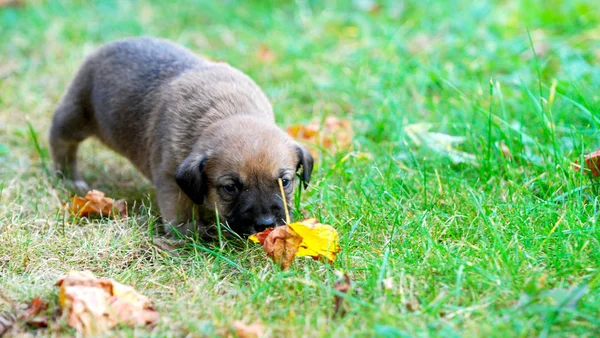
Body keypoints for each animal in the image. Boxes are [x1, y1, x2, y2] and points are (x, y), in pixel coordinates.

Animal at [49, 37, 314, 238]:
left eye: (285, 182)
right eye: (230, 188)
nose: (266, 224)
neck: (228, 111)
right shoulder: (170, 179)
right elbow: (179, 214)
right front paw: (191, 232)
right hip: (77, 114)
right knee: (60, 140)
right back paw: (69, 177)